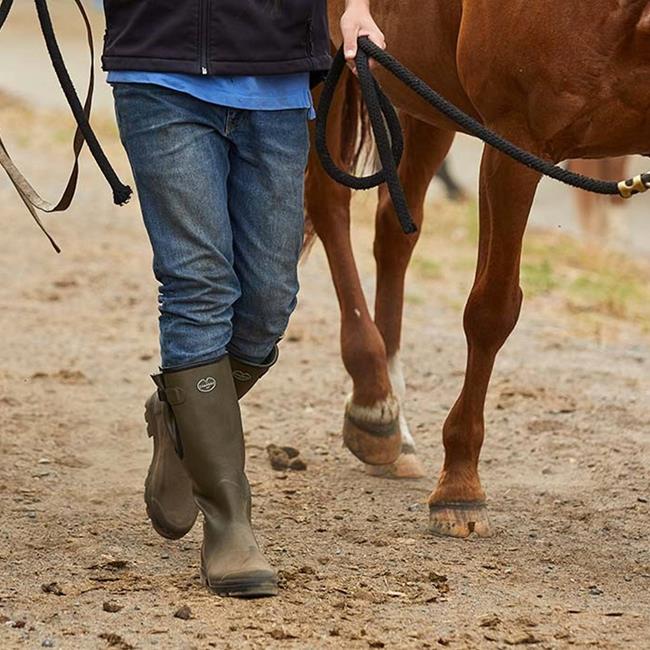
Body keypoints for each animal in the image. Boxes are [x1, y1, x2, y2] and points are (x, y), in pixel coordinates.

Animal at [305, 0, 650, 537]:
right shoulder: (515, 145)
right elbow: (492, 311)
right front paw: (459, 486)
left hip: (424, 94)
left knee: (394, 232)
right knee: (329, 204)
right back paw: (373, 399)